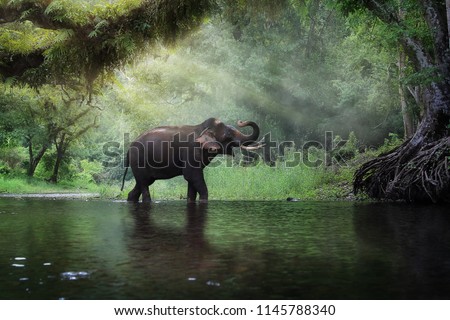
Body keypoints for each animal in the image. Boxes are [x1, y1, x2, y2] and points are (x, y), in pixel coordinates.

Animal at [120, 117, 260, 202]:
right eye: (228, 135)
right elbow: (193, 177)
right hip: (139, 161)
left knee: (141, 184)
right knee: (144, 184)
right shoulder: (190, 152)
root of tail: (128, 149)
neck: (202, 129)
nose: (241, 121)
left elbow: (191, 183)